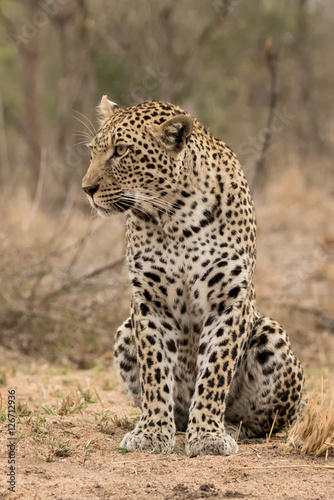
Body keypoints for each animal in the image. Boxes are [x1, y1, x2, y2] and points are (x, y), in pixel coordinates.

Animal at [82, 94, 304, 458]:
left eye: (121, 150)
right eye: (93, 151)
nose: (87, 188)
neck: (175, 216)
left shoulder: (229, 300)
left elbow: (215, 370)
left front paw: (209, 435)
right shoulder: (149, 302)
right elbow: (155, 370)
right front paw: (151, 432)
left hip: (270, 335)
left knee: (262, 422)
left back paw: (229, 426)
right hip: (125, 332)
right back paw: (176, 424)